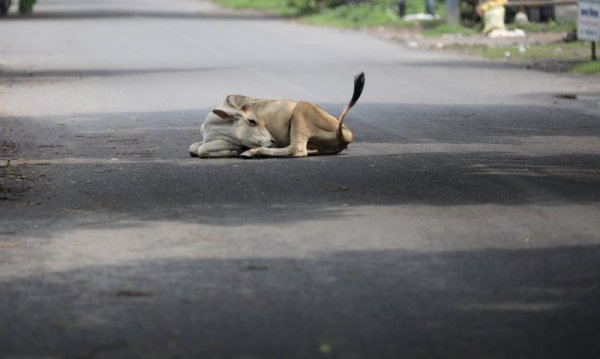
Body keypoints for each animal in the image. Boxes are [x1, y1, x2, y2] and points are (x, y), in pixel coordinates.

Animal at [190, 72, 364, 158]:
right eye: (252, 121)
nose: (272, 140)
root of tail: (345, 132)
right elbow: (194, 148)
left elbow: (201, 150)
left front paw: (236, 150)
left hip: (301, 113)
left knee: (296, 150)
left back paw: (252, 152)